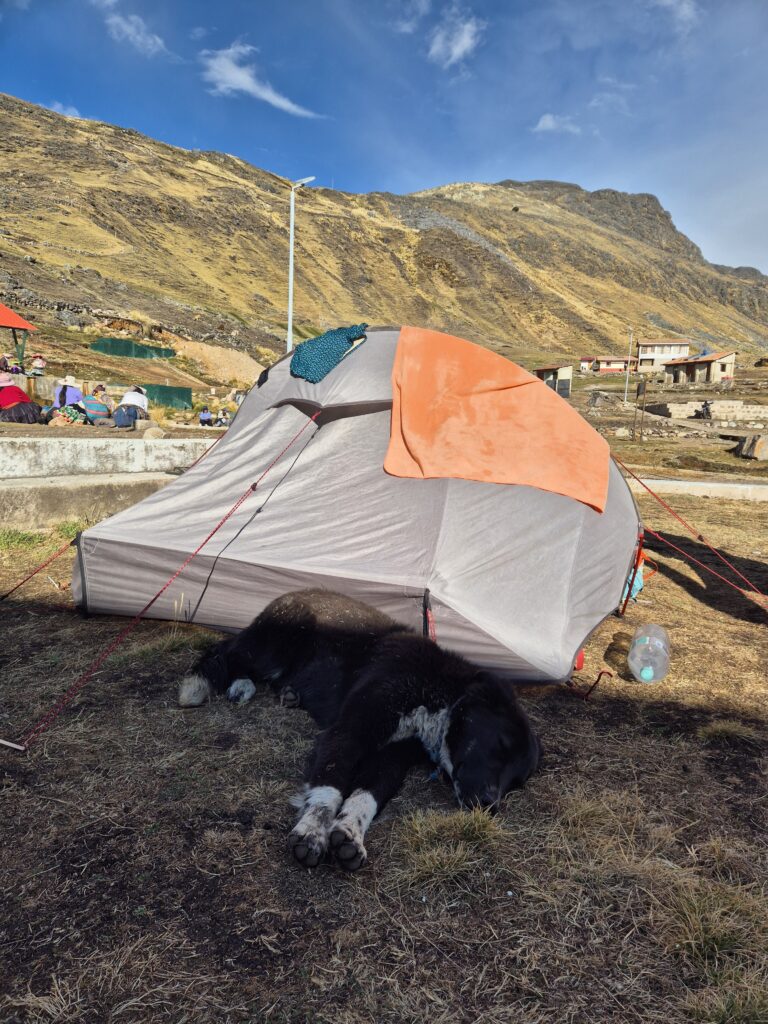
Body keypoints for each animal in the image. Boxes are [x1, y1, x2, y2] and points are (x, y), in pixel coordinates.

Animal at [178, 589, 540, 871]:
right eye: (501, 744)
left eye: (518, 781)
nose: (490, 806)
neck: (436, 692)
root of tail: (295, 592)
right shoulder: (350, 732)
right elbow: (330, 787)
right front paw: (312, 832)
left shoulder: (392, 757)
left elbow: (367, 796)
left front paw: (350, 832)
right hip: (271, 646)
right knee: (226, 651)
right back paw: (213, 683)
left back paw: (280, 692)